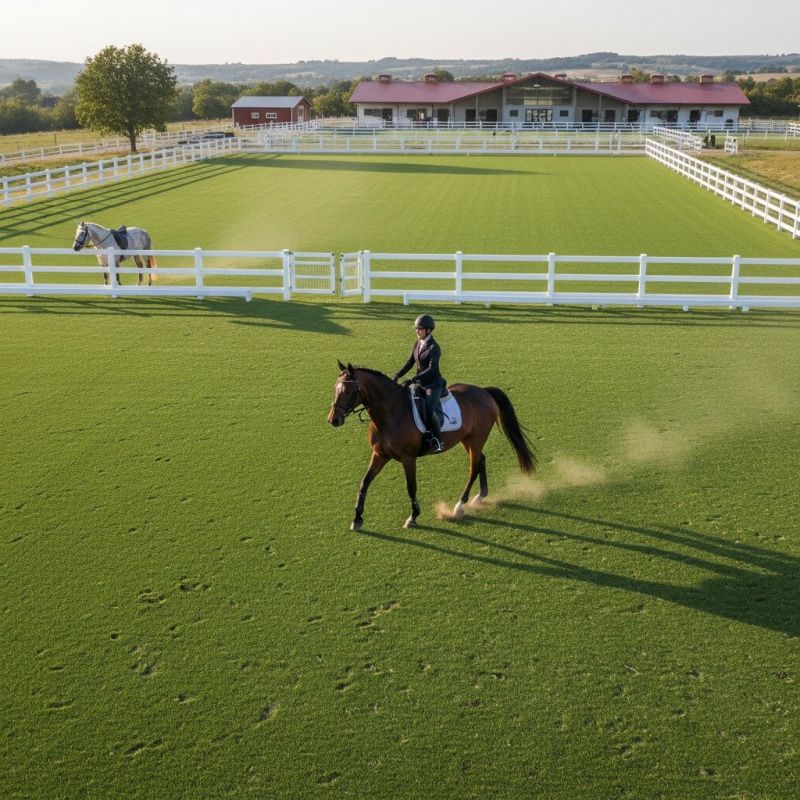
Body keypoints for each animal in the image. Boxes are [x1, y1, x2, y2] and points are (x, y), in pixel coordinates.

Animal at [328, 362, 536, 530]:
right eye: (335, 388)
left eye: (348, 391)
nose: (333, 420)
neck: (390, 413)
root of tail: (484, 392)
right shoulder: (380, 454)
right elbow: (364, 483)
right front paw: (357, 519)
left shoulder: (408, 459)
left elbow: (411, 487)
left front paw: (412, 518)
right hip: (467, 439)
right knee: (481, 461)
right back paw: (480, 496)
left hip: (477, 438)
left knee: (474, 467)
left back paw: (460, 506)